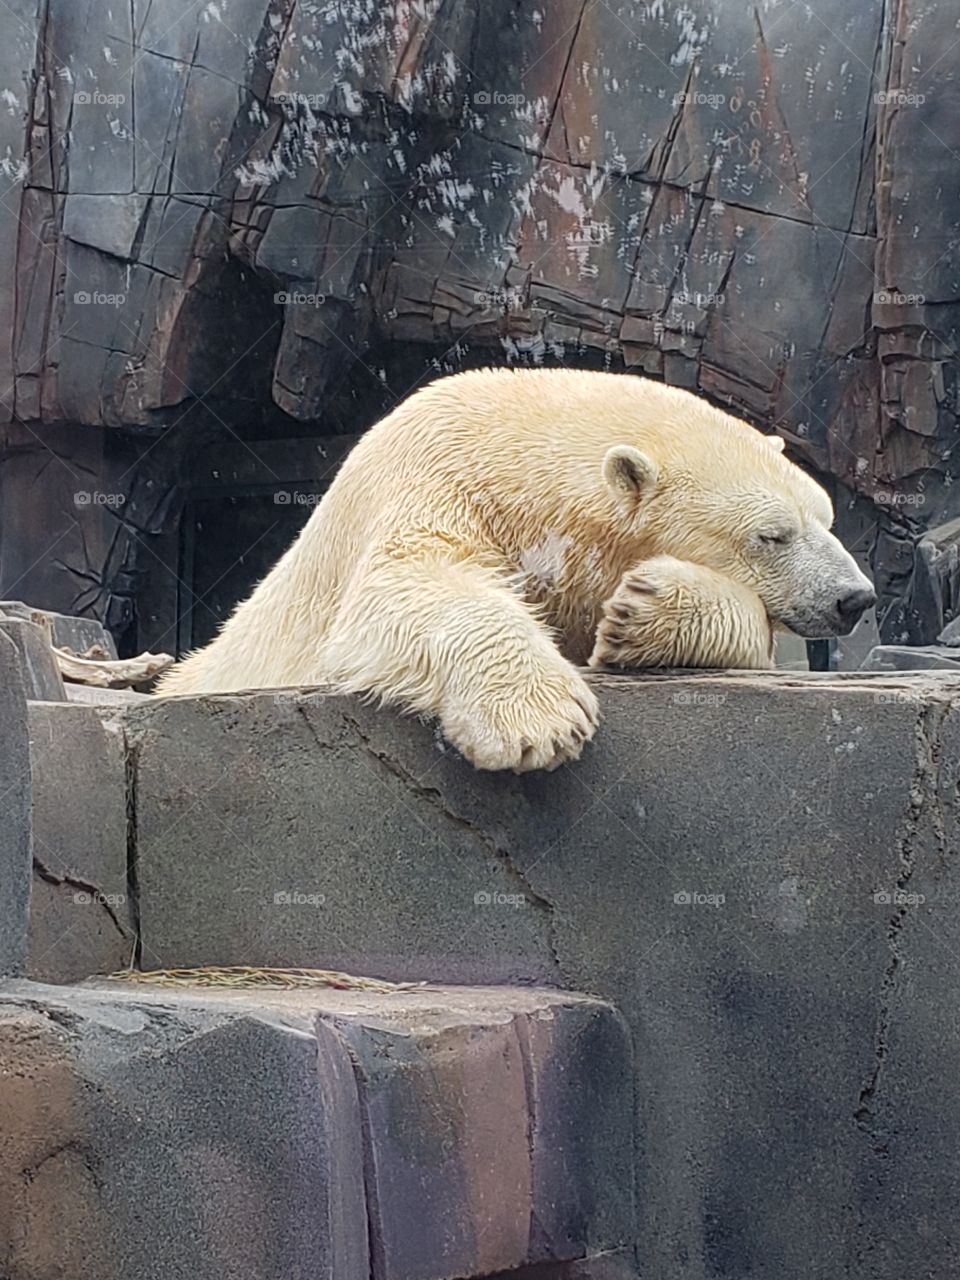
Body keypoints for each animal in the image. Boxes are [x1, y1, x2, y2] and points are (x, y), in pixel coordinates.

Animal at [156, 368, 875, 771]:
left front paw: (640, 613)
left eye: (827, 515)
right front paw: (539, 722)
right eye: (772, 534)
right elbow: (406, 584)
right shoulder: (430, 476)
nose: (856, 598)